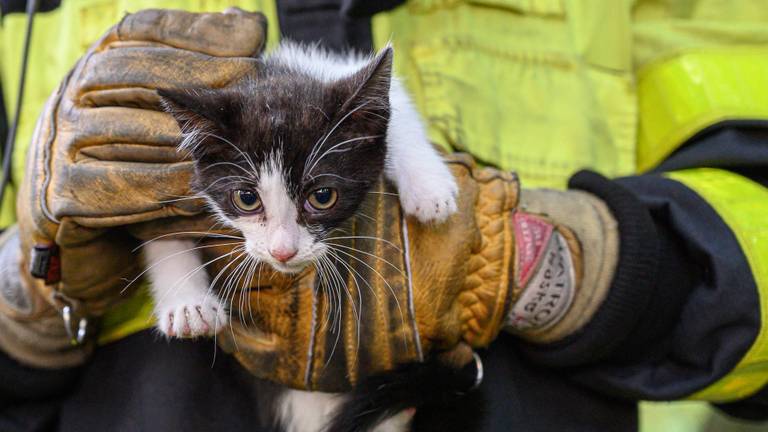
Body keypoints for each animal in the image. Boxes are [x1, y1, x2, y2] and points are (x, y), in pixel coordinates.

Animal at [147, 41, 462, 432]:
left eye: (322, 197)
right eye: (246, 198)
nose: (283, 251)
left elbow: (399, 109)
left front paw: (428, 186)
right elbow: (158, 222)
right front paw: (187, 304)